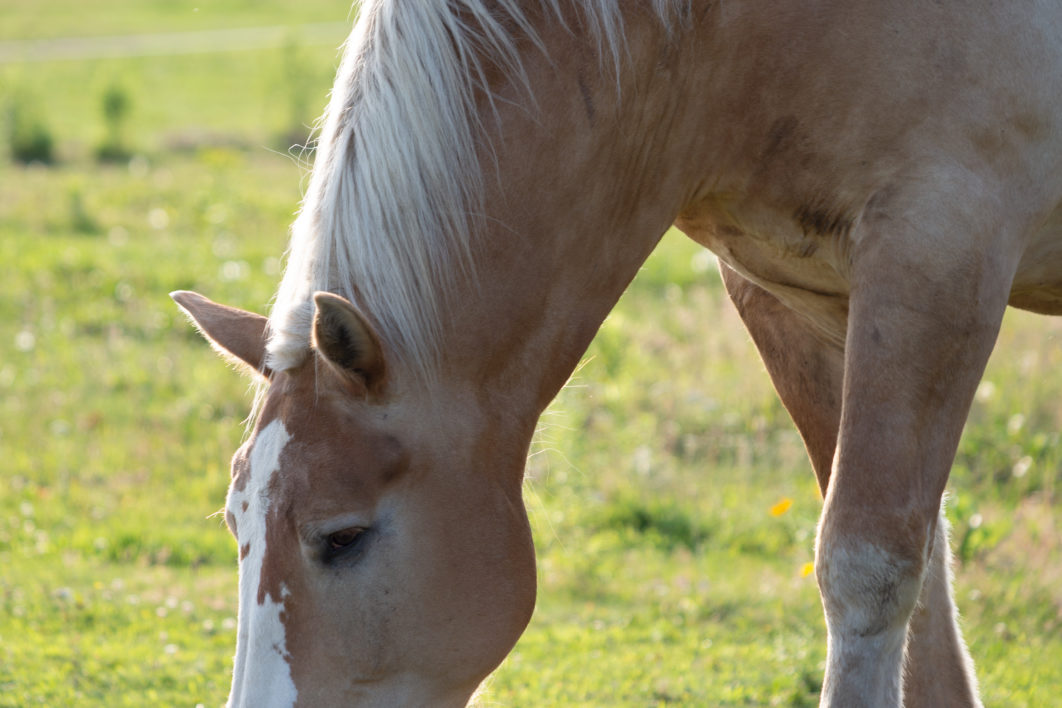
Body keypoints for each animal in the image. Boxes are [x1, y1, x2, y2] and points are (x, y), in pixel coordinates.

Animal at [169, 1, 1062, 708]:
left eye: (343, 537)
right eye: (237, 522)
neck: (723, 35)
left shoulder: (937, 259)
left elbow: (866, 567)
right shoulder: (793, 297)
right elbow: (923, 570)